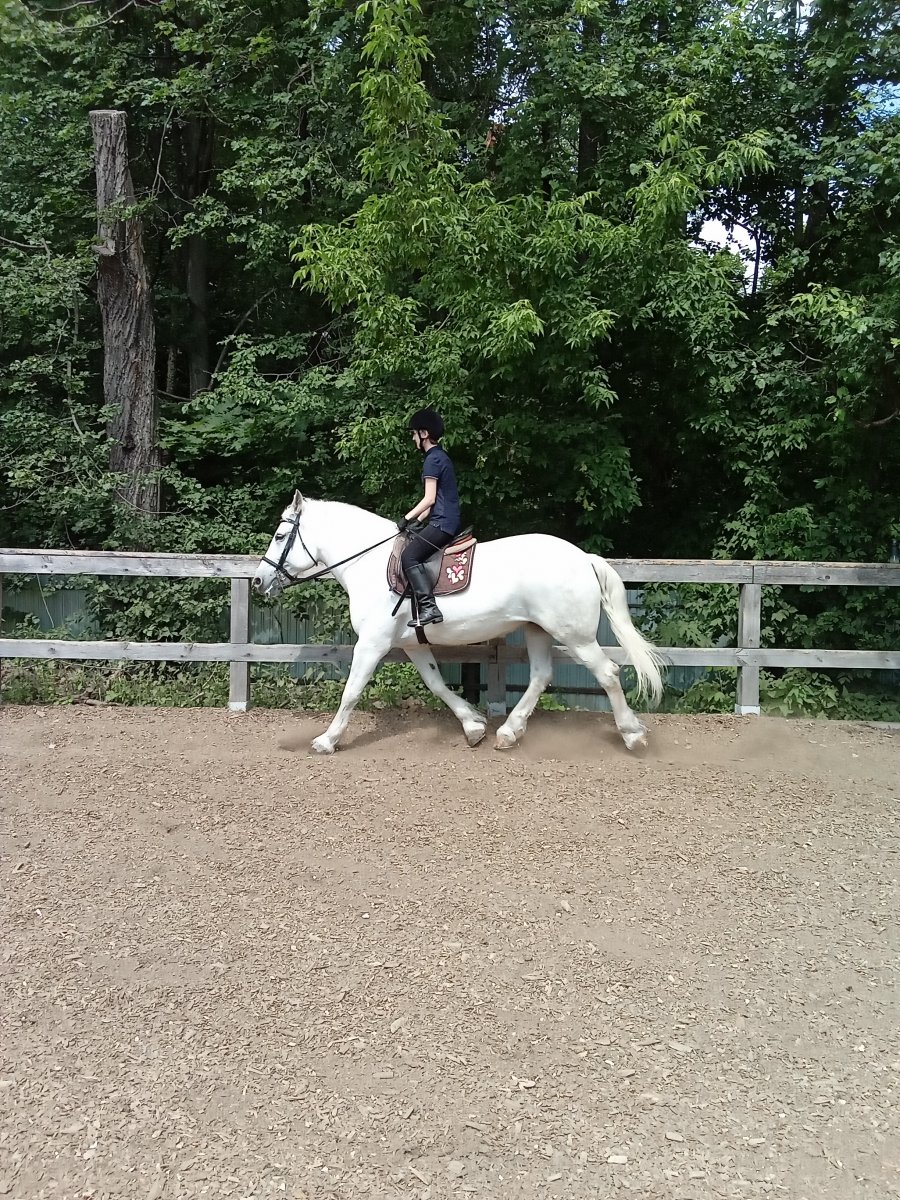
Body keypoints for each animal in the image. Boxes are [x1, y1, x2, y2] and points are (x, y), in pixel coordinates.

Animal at [251, 491, 664, 755]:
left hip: (575, 635)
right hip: (537, 630)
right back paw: (508, 732)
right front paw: (473, 725)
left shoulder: (372, 643)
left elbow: (351, 692)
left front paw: (327, 740)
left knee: (607, 673)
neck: (368, 564)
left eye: (280, 535)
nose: (258, 581)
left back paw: (632, 735)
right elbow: (437, 684)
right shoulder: (412, 644)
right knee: (541, 675)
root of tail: (583, 557)